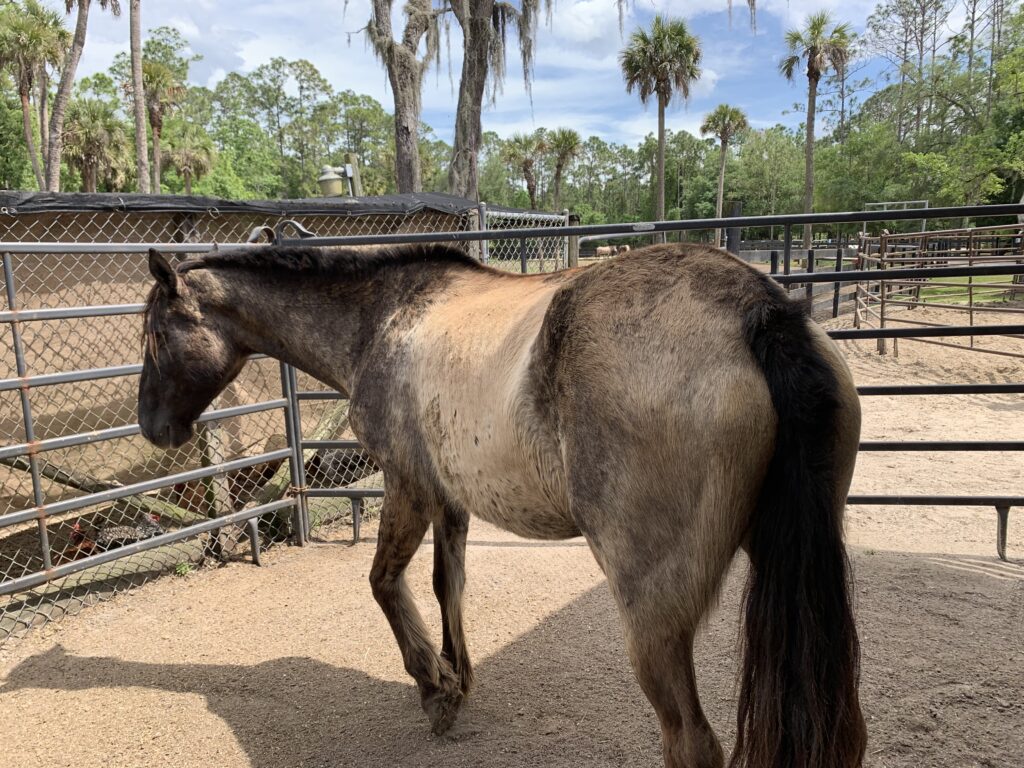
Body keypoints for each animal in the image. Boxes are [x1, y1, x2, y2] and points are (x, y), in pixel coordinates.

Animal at [140, 241, 868, 768]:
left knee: (691, 744)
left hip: (652, 614)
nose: (153, 428)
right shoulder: (449, 500)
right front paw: (457, 677)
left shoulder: (409, 485)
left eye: (155, 335)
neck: (380, 319)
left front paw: (433, 687)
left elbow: (383, 582)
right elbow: (447, 585)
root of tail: (758, 310)